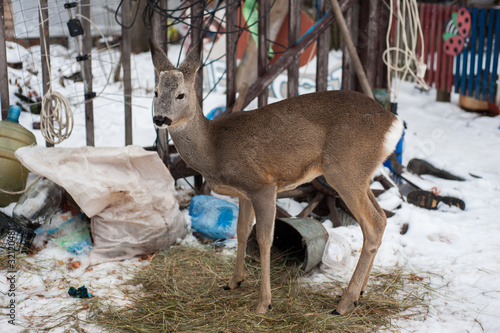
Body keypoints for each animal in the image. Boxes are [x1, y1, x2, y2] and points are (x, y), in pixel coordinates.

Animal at [148, 39, 402, 314]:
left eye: (180, 94)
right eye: (155, 92)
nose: (160, 118)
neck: (214, 148)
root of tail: (393, 123)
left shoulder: (262, 185)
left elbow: (264, 239)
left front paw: (264, 303)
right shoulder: (244, 193)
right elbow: (241, 231)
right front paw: (234, 281)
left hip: (344, 170)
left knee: (373, 223)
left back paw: (344, 303)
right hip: (360, 174)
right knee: (381, 219)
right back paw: (359, 293)